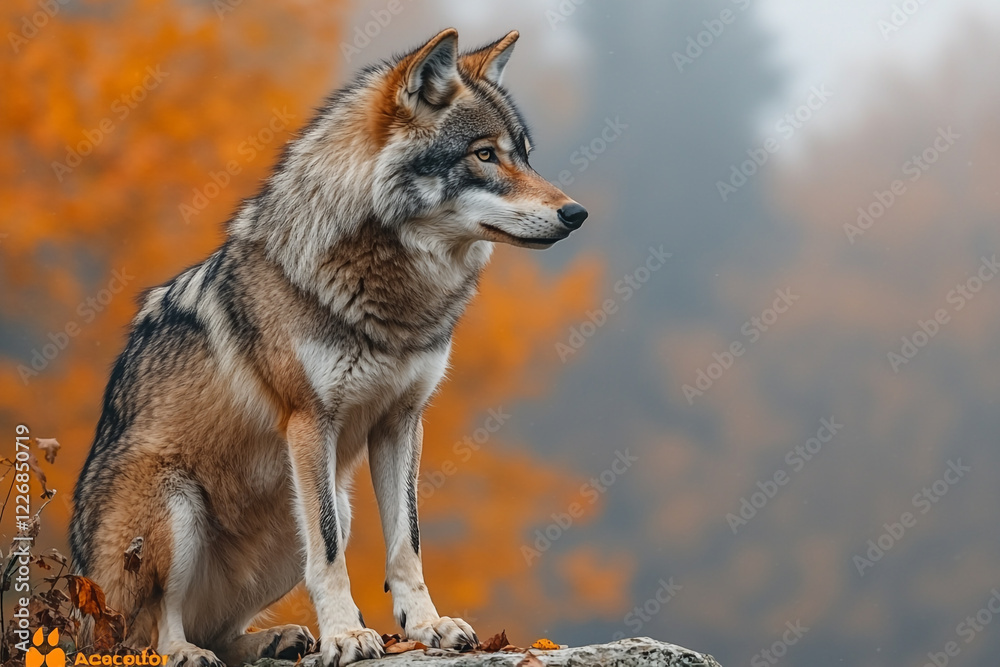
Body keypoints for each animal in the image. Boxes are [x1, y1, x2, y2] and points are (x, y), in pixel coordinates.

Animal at [70, 28, 587, 667]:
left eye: (524, 154)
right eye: (484, 154)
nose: (575, 212)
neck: (393, 302)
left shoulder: (401, 421)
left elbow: (407, 543)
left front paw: (426, 627)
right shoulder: (309, 422)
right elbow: (332, 555)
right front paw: (346, 634)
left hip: (324, 509)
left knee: (217, 627)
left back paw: (274, 639)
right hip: (177, 508)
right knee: (155, 626)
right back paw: (184, 651)